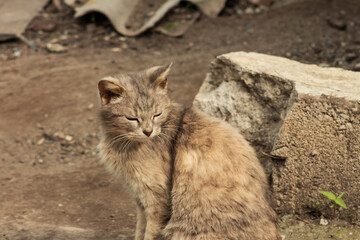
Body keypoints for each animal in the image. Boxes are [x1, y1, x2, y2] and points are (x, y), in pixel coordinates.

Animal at [97, 62, 280, 239]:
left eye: (157, 114)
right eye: (132, 118)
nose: (148, 131)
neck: (121, 143)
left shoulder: (156, 198)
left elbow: (150, 232)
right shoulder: (139, 199)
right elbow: (140, 229)